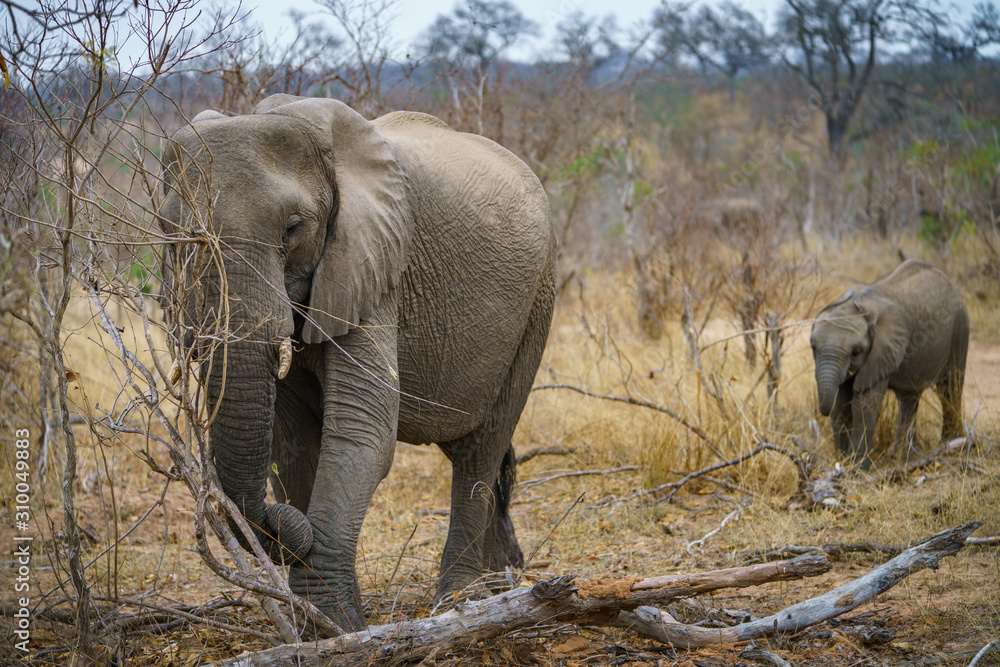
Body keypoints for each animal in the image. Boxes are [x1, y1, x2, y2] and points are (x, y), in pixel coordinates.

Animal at [159, 94, 556, 631]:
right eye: (169, 233)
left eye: (294, 228)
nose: (274, 526)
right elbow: (293, 441)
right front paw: (318, 625)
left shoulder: (376, 264)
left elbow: (362, 431)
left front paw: (335, 624)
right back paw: (502, 581)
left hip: (538, 298)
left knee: (482, 447)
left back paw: (462, 599)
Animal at [810, 260, 968, 470]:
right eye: (813, 347)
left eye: (856, 352)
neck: (855, 305)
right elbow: (842, 404)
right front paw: (842, 461)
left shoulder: (881, 352)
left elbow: (865, 405)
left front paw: (857, 469)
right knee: (909, 398)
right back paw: (903, 457)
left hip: (960, 329)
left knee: (950, 388)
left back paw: (949, 445)